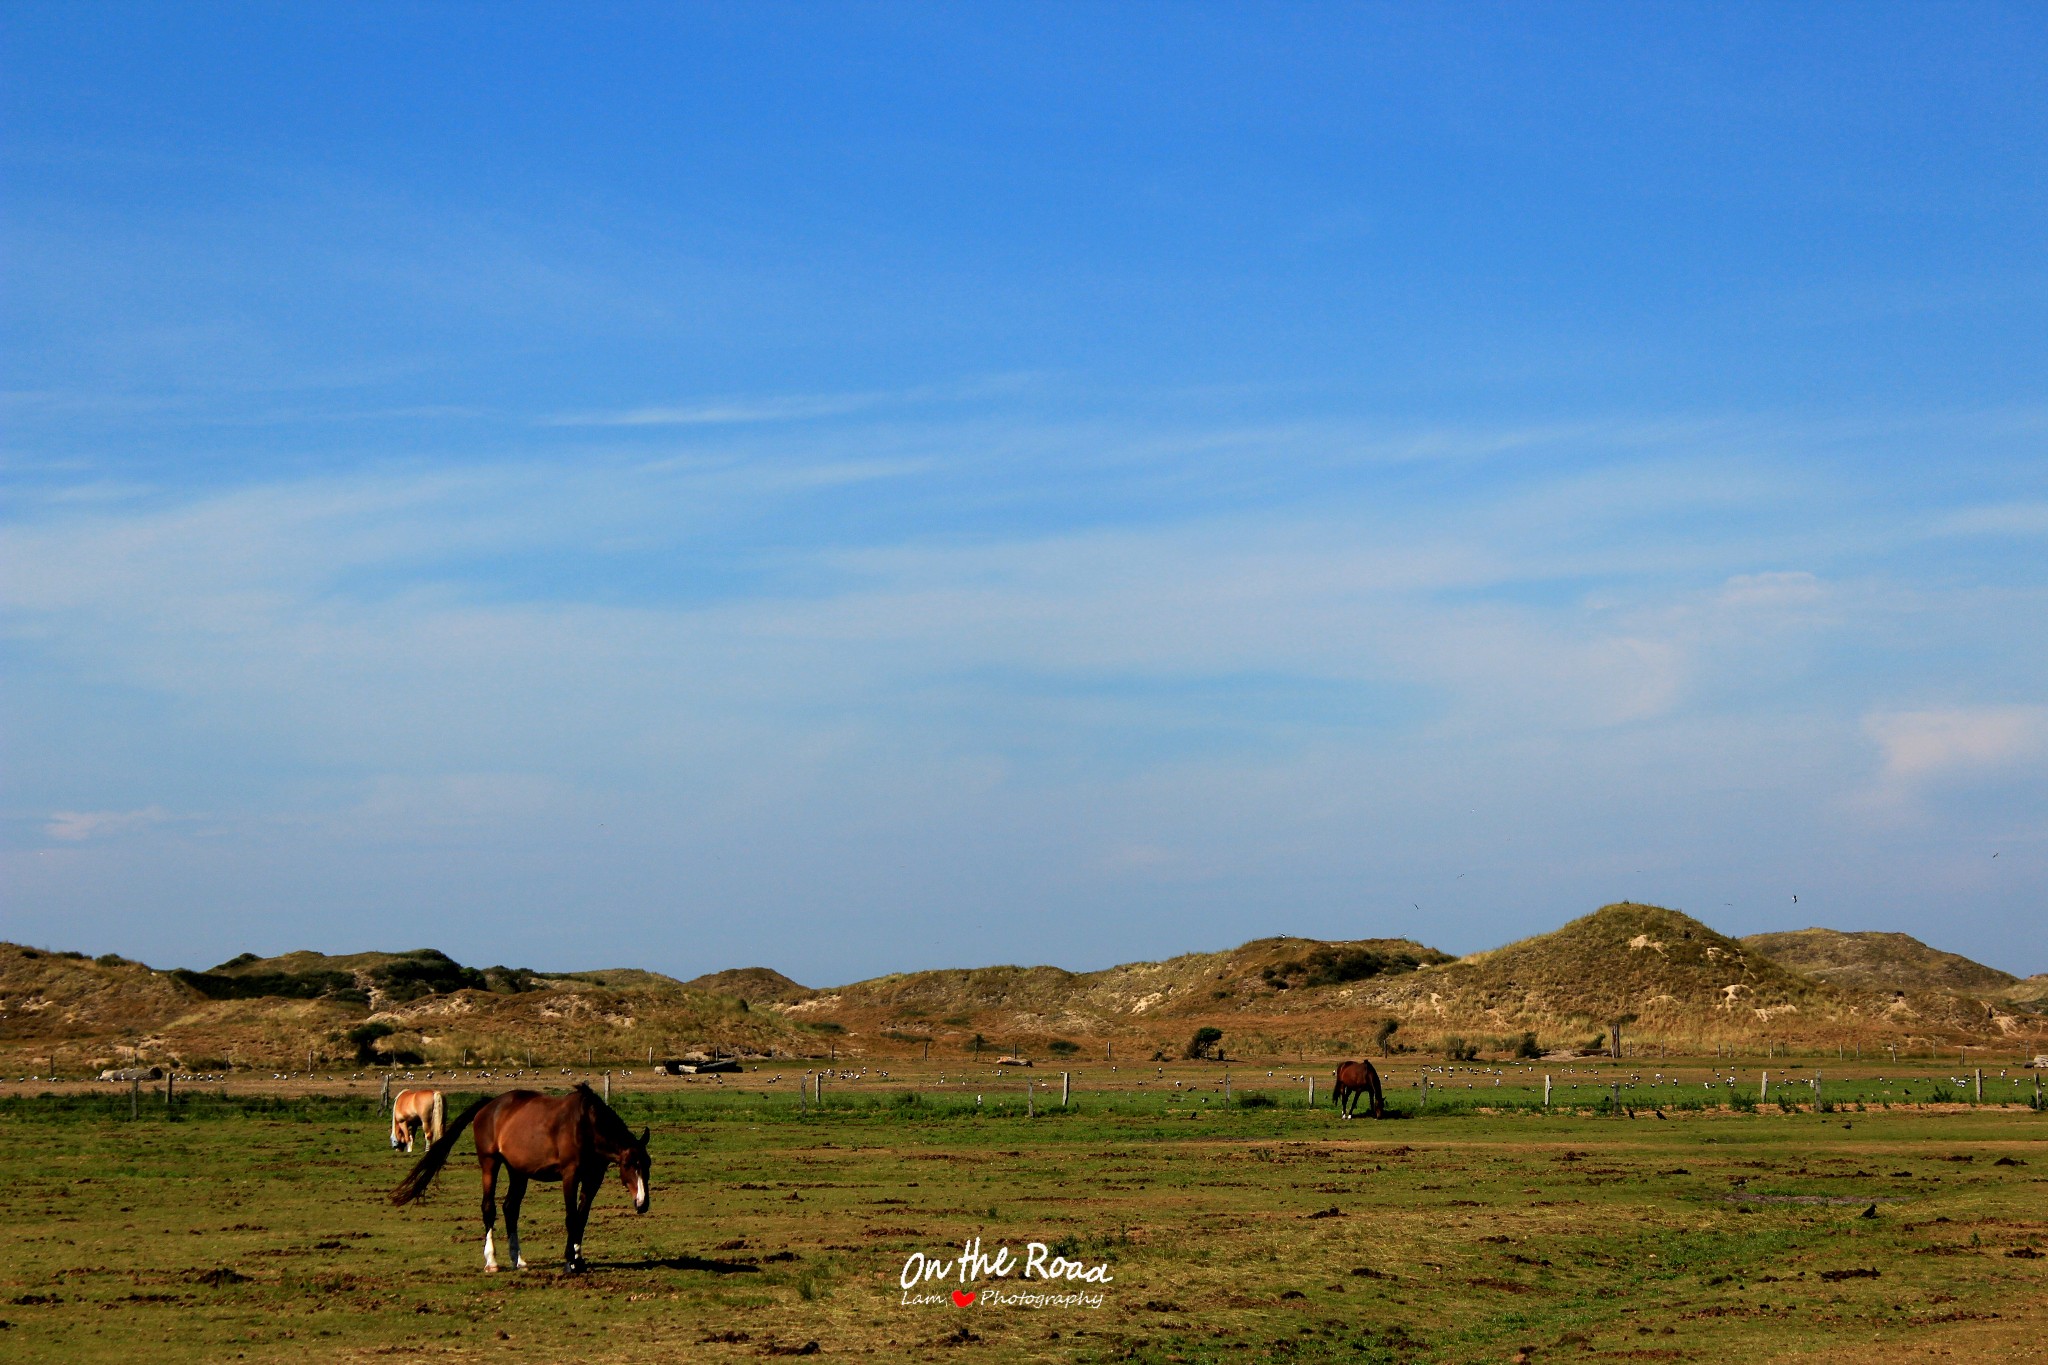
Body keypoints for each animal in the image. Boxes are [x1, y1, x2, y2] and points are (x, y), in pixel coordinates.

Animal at [391, 1080, 647, 1277]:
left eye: (647, 1165)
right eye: (628, 1165)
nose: (643, 1203)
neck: (588, 1125)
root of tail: (489, 1105)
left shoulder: (593, 1178)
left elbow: (581, 1219)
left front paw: (579, 1259)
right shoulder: (570, 1176)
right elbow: (571, 1217)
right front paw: (569, 1262)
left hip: (518, 1172)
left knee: (510, 1208)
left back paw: (518, 1259)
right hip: (490, 1163)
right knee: (489, 1208)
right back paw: (492, 1261)